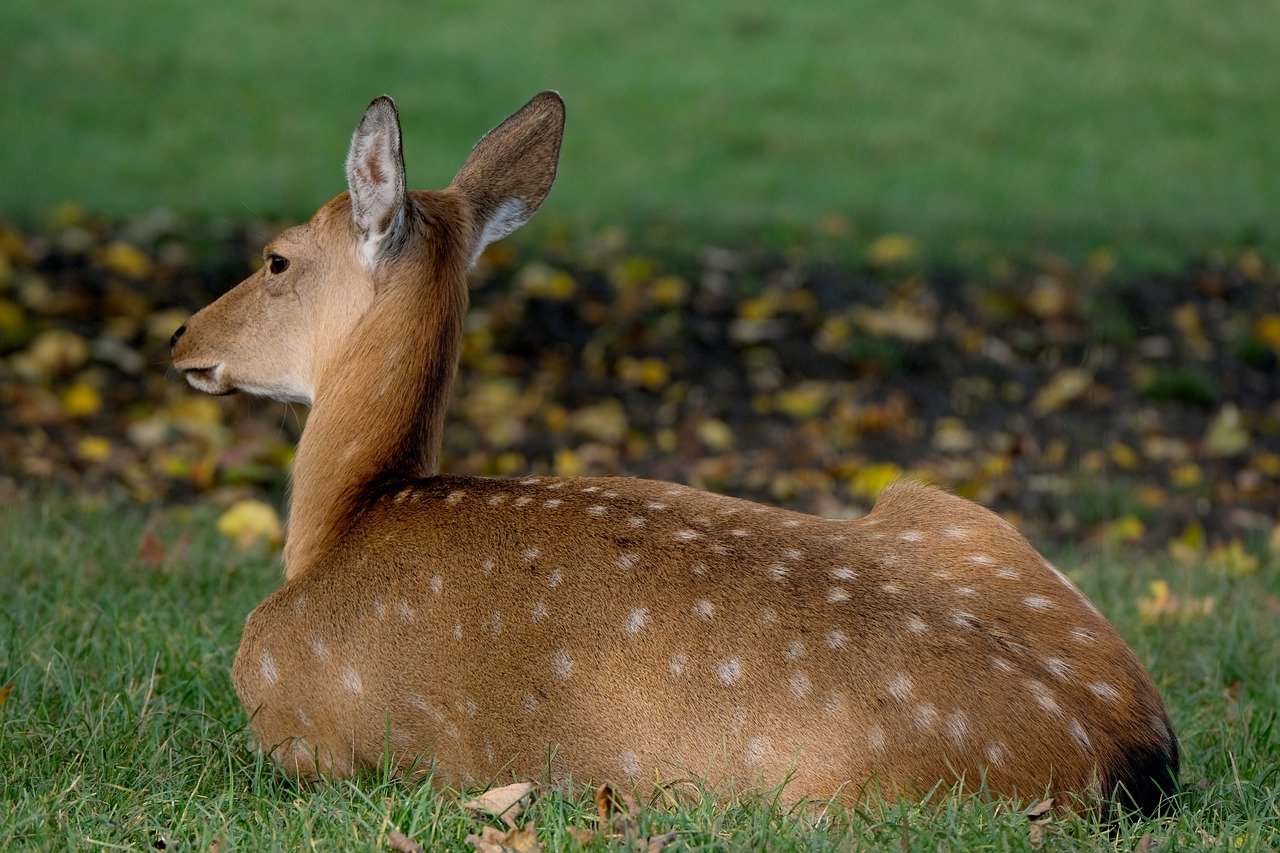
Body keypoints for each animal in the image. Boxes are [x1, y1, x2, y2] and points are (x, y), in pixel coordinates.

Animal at [170, 89, 1177, 814]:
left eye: (276, 259)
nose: (181, 336)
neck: (345, 517)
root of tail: (1128, 751)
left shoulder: (295, 715)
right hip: (941, 504)